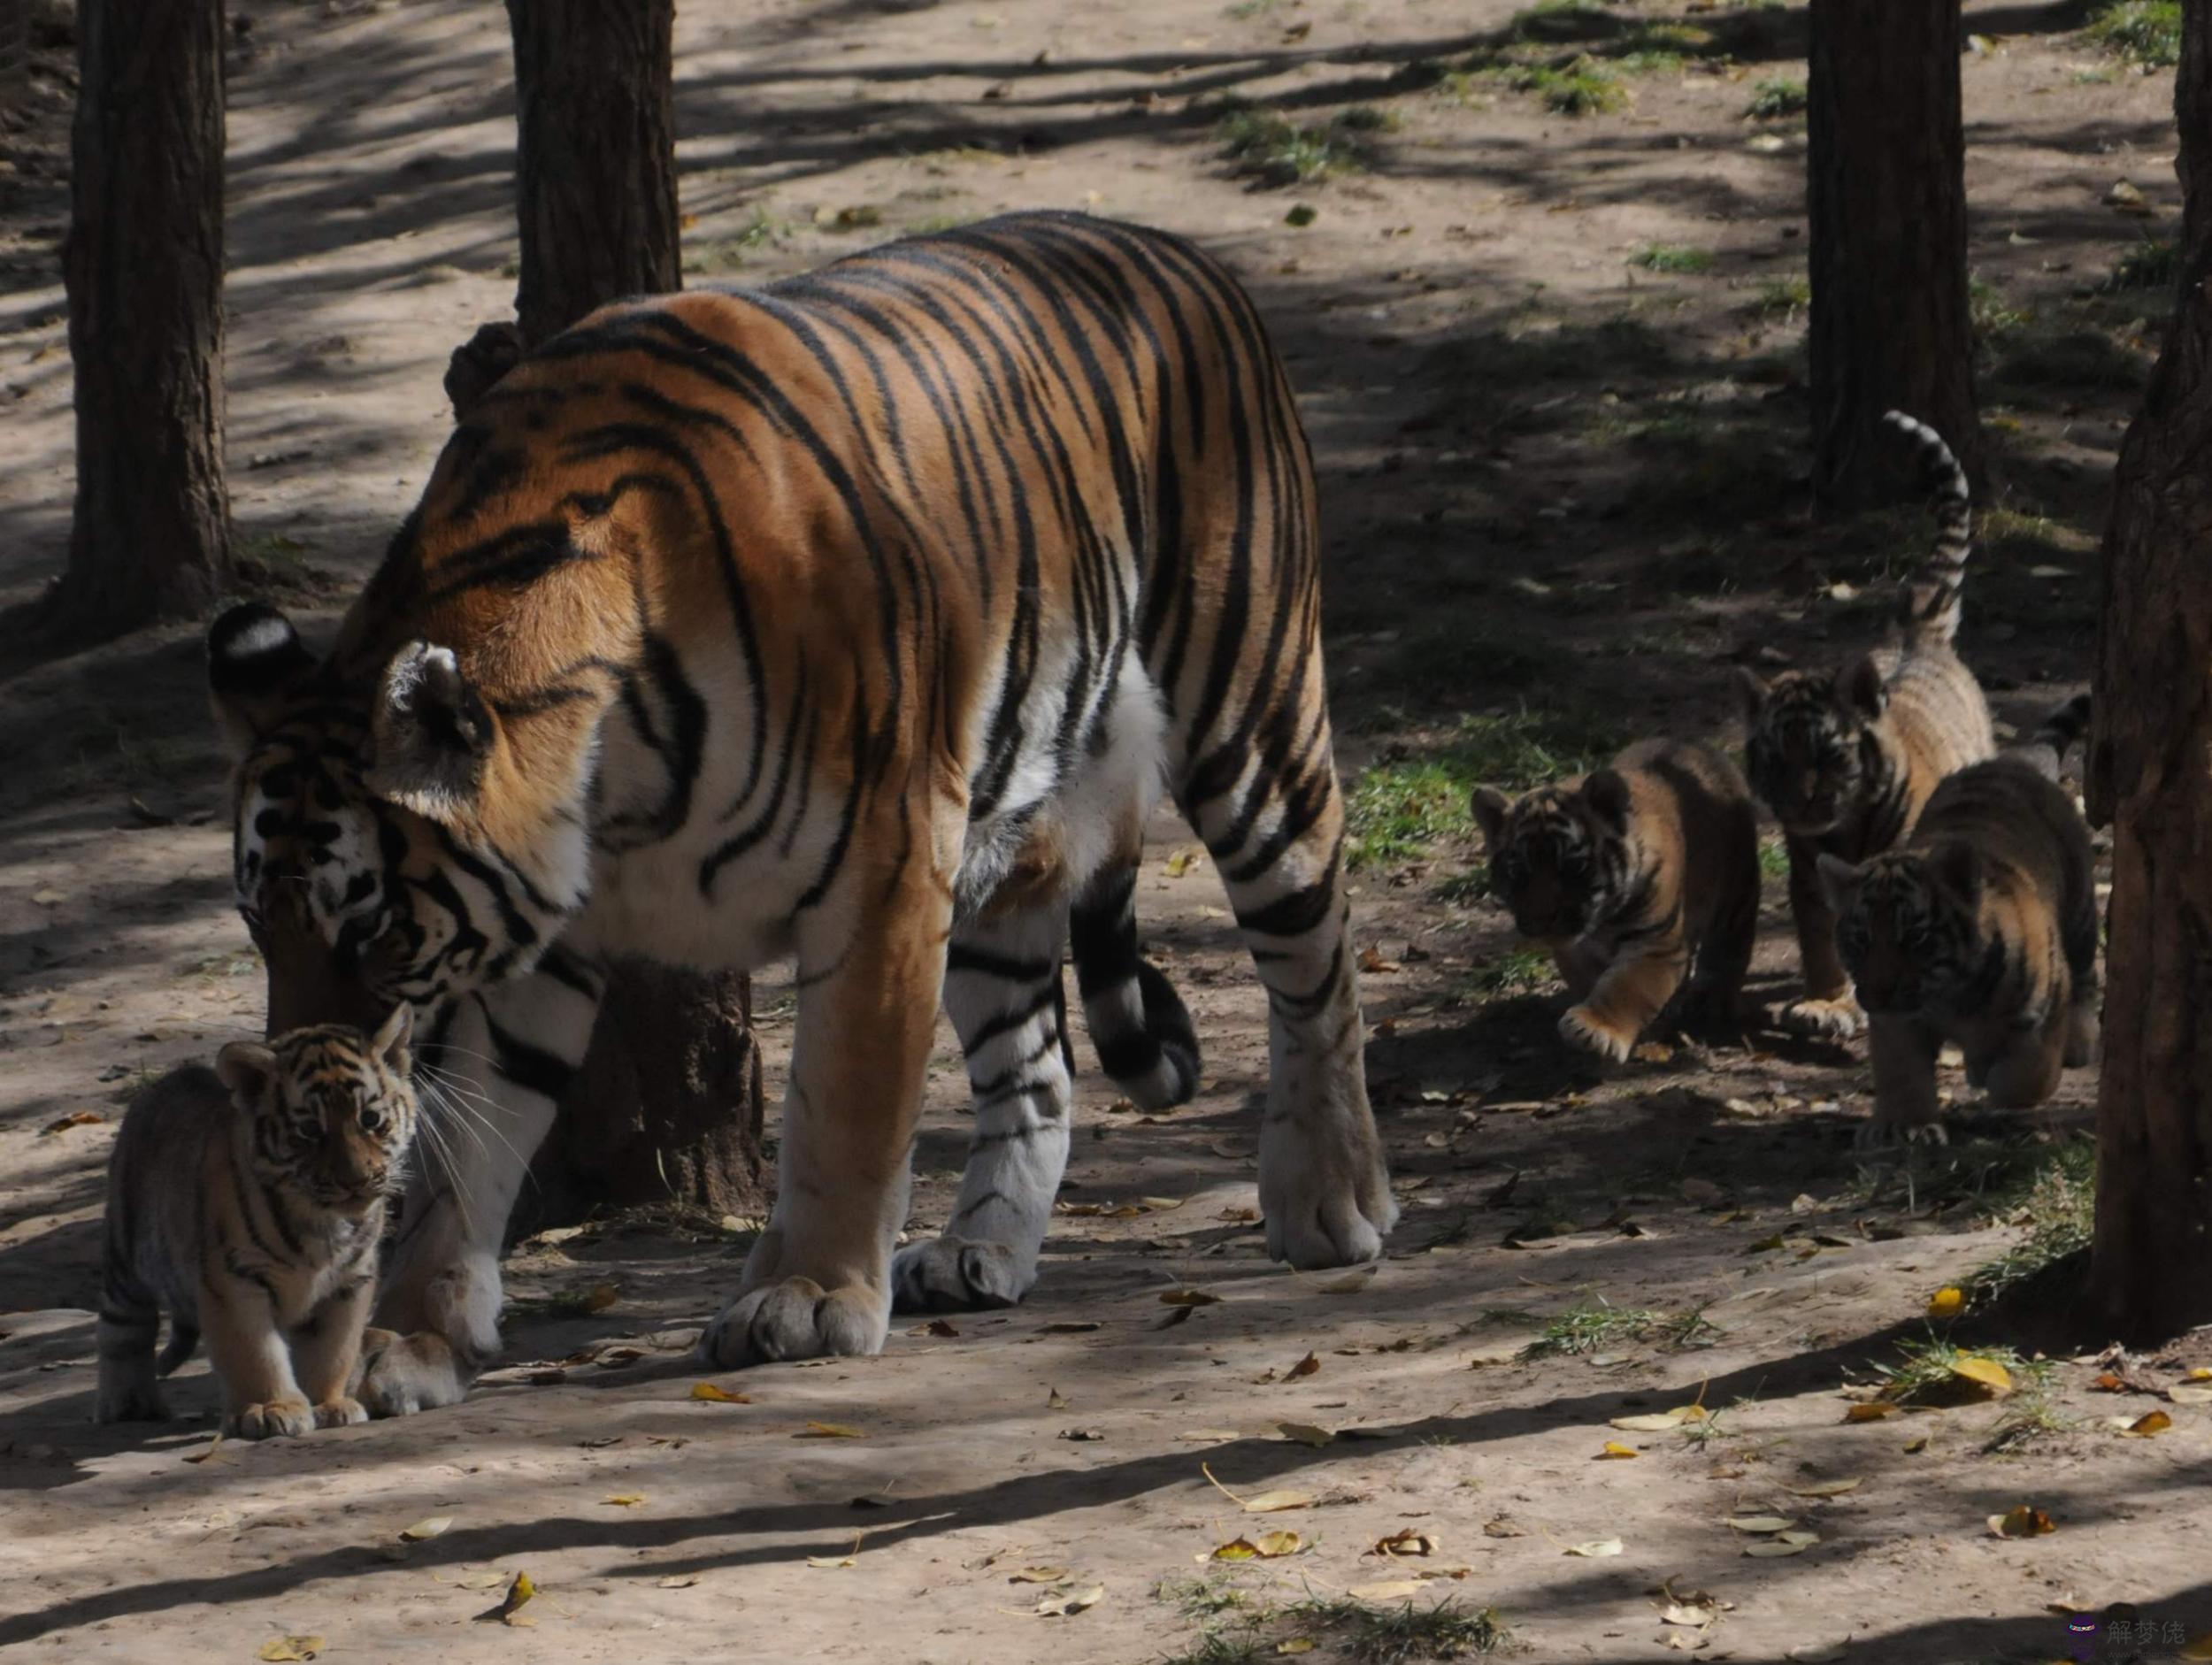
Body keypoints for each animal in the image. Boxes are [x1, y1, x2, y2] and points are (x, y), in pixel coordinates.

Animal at [204, 201, 1380, 1406]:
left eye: (373, 934)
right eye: (260, 930)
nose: (275, 1109)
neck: (608, 793)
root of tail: (1174, 249)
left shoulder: (887, 866)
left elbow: (845, 1108)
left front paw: (809, 1295)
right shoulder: (529, 941)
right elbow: (458, 1152)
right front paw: (404, 1335)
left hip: (1250, 718)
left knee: (1316, 962)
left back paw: (1331, 1200)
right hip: (998, 855)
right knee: (1037, 1067)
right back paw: (982, 1250)